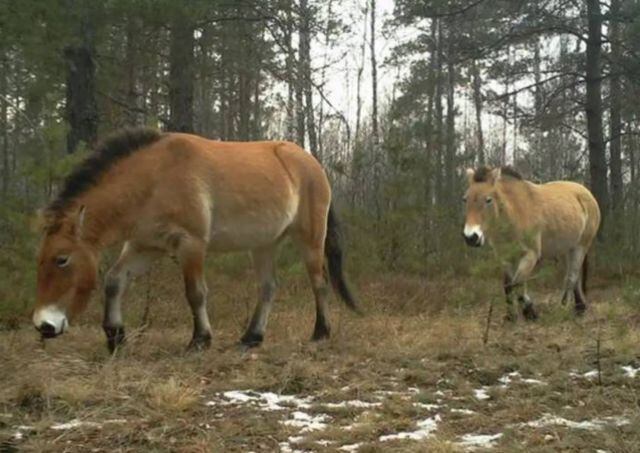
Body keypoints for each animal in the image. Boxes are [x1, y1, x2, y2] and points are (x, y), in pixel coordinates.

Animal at [32, 125, 360, 352]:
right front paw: (116, 337)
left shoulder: (190, 244)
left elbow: (195, 293)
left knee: (319, 283)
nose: (44, 325)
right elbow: (114, 281)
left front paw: (200, 340)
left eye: (62, 259)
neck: (152, 179)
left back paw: (320, 333)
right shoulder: (144, 246)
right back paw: (251, 338)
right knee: (268, 288)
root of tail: (313, 163)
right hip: (264, 245)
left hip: (310, 238)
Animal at [462, 166, 604, 318]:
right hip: (566, 250)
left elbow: (517, 283)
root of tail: (586, 193)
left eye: (488, 200)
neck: (514, 213)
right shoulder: (505, 257)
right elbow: (508, 285)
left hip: (580, 247)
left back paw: (562, 308)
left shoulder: (531, 255)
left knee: (571, 277)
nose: (471, 237)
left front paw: (530, 311)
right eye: (465, 199)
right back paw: (579, 308)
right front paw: (511, 316)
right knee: (574, 276)